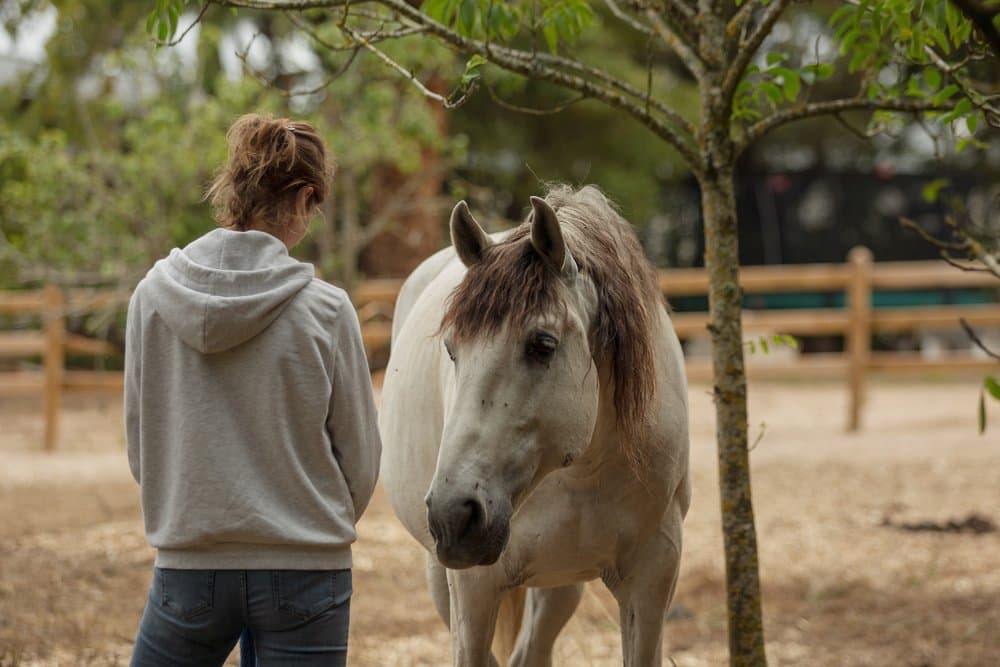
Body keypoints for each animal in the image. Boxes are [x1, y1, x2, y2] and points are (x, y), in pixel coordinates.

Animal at [378, 185, 690, 666]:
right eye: (451, 349)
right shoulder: (473, 588)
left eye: (542, 345)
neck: (585, 469)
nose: (454, 515)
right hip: (440, 573)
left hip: (560, 584)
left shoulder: (653, 576)